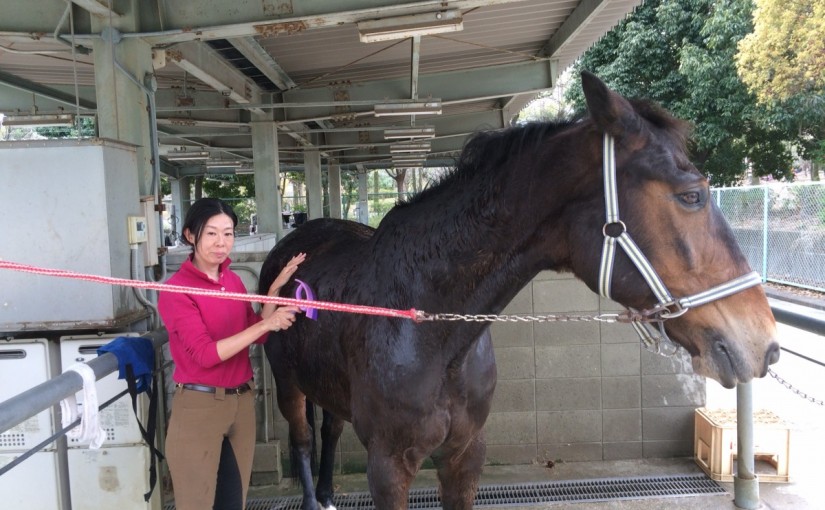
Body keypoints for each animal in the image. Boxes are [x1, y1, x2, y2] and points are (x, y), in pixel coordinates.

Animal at [258, 71, 780, 510]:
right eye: (692, 195)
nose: (765, 345)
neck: (428, 329)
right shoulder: (388, 467)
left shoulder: (465, 455)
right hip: (286, 381)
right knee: (302, 439)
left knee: (329, 429)